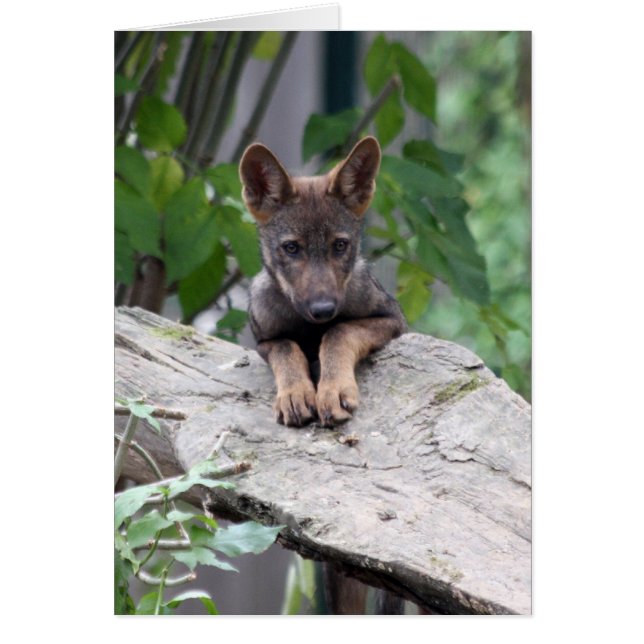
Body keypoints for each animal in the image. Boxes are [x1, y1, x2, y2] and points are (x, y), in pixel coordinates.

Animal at [239, 136, 406, 428]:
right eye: (291, 248)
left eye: (340, 245)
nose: (323, 310)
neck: (309, 327)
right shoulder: (264, 341)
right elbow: (286, 348)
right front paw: (294, 394)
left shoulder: (394, 320)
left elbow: (338, 331)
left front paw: (333, 390)